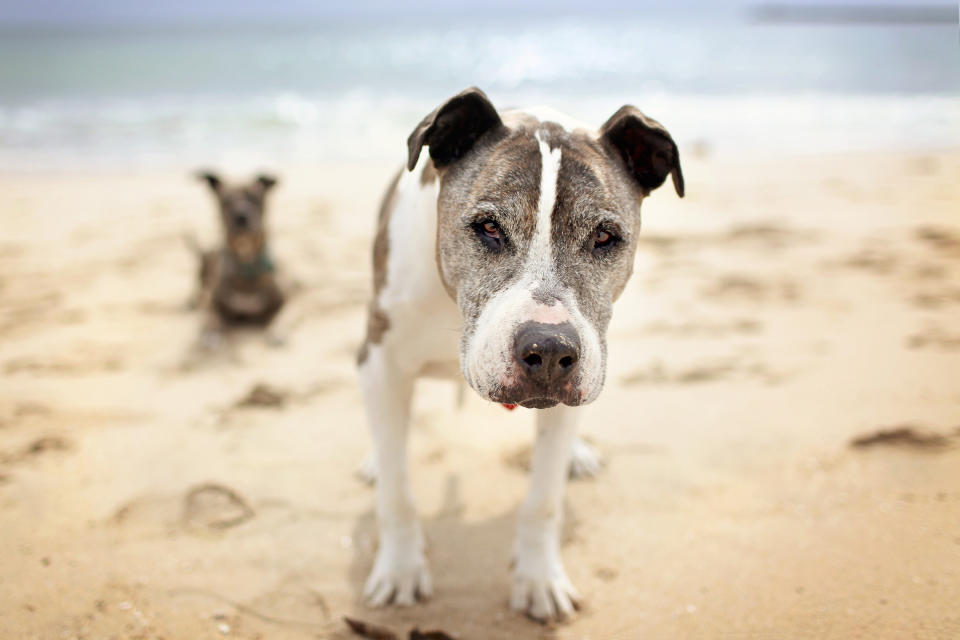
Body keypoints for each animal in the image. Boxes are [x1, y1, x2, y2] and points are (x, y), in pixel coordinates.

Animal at [358, 87, 684, 624]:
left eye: (604, 237)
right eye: (488, 227)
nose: (549, 349)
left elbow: (543, 500)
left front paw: (539, 580)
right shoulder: (380, 361)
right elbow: (397, 493)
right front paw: (402, 569)